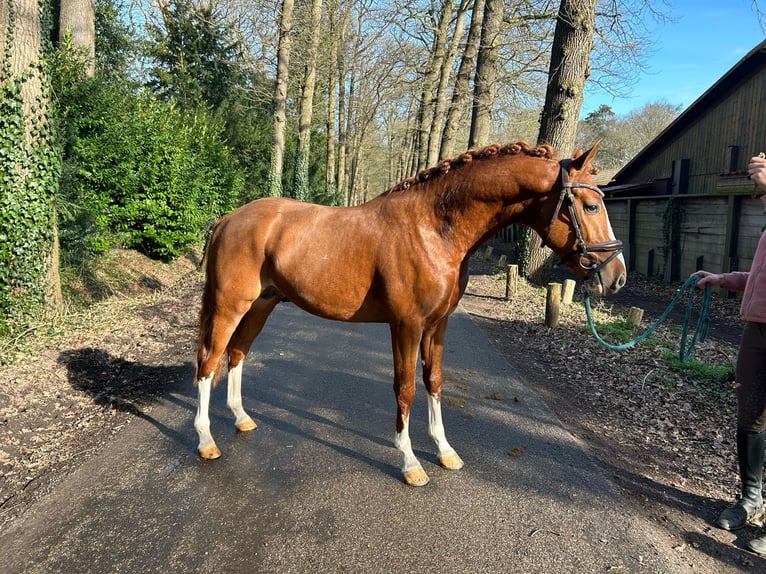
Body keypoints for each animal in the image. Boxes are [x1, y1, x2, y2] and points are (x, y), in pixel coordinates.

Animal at [195, 140, 628, 486]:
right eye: (591, 205)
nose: (617, 277)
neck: (432, 229)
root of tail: (227, 219)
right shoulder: (407, 326)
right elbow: (405, 389)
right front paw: (410, 463)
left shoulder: (437, 325)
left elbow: (434, 381)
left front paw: (445, 451)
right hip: (230, 306)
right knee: (209, 362)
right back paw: (206, 440)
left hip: (262, 304)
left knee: (237, 354)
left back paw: (241, 418)